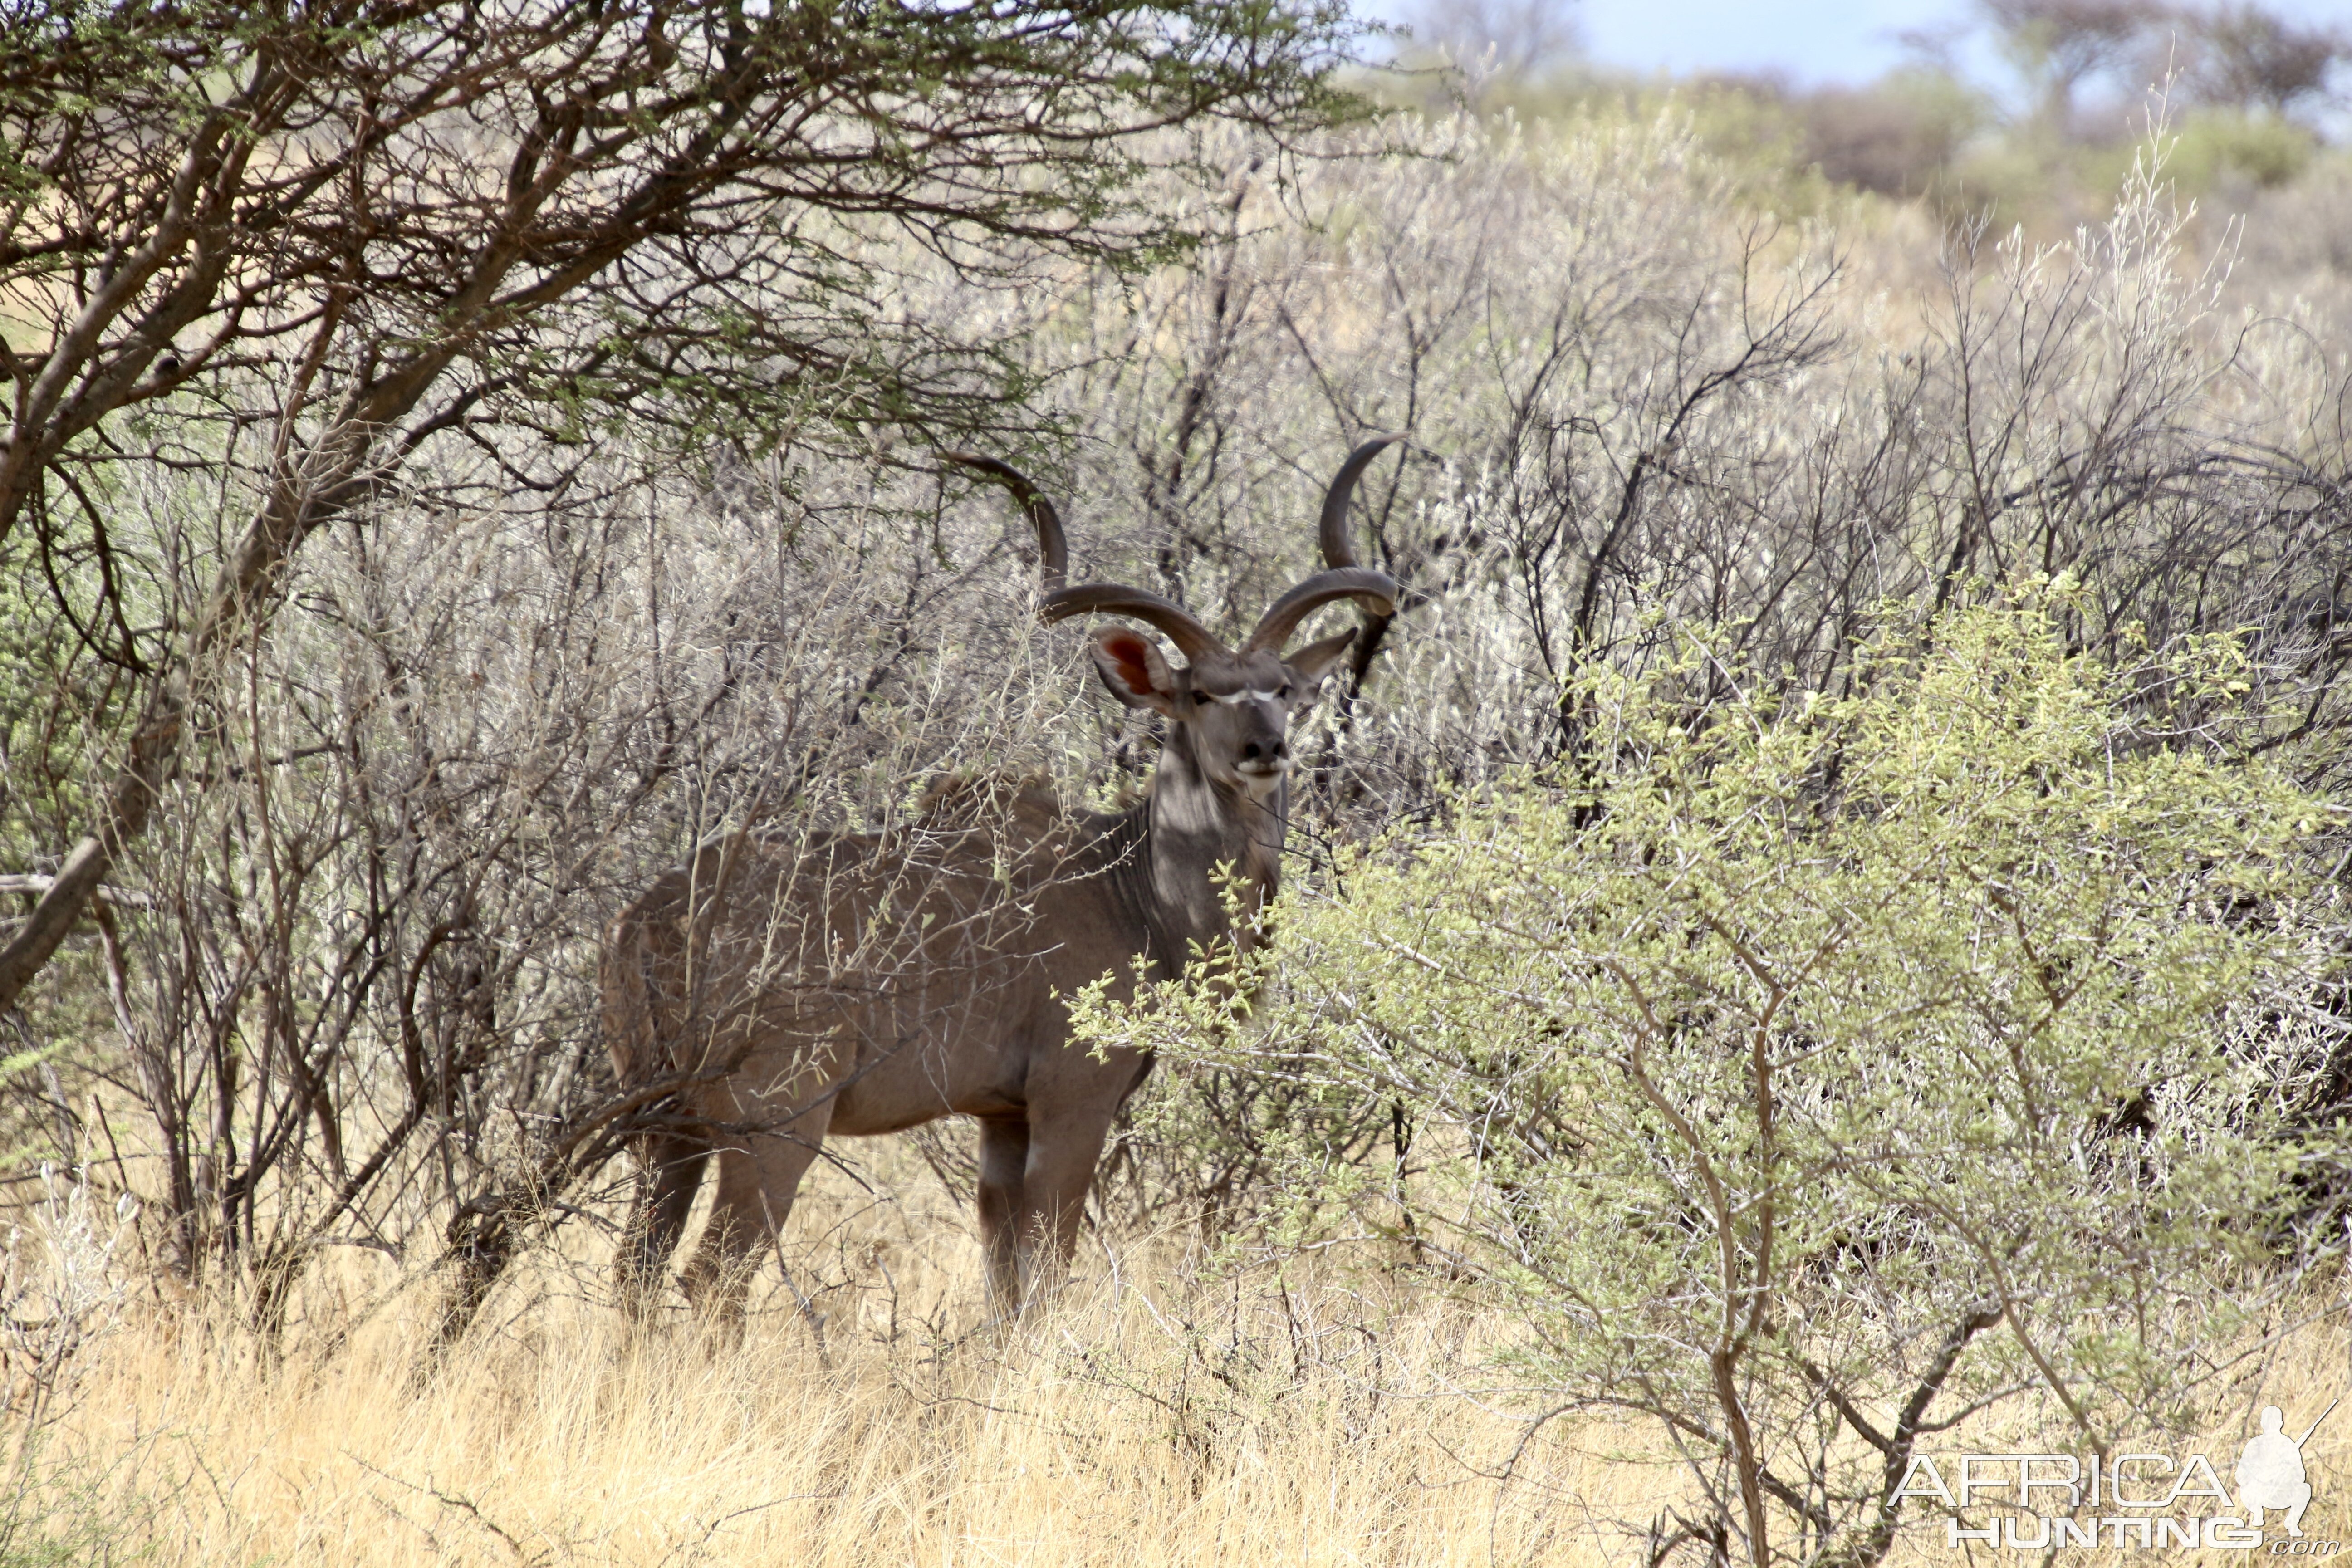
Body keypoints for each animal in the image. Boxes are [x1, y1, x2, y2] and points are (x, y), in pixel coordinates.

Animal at [607, 435, 1401, 1316]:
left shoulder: (1001, 1119)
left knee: (636, 1270)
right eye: (1200, 694)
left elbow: (1004, 1283)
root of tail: (651, 921)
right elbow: (1048, 1272)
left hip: (667, 1130)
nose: (1266, 747)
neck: (1128, 888)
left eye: (1283, 689)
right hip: (777, 1121)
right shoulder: (1072, 1099)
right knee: (713, 1273)